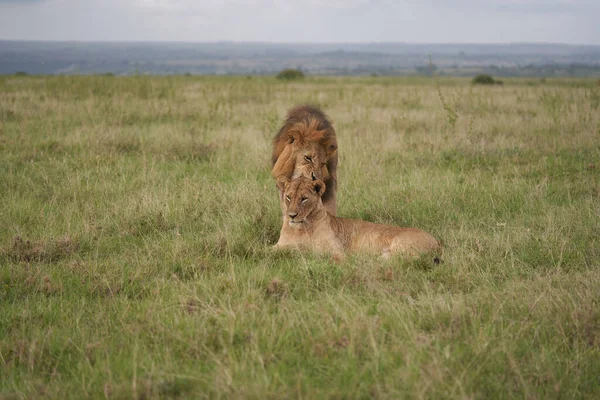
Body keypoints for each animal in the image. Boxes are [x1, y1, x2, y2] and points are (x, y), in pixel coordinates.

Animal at [276, 177, 440, 262]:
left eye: (304, 199)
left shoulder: (337, 251)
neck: (301, 229)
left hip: (402, 245)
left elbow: (323, 254)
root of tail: (438, 243)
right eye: (288, 197)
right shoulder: (279, 245)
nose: (292, 215)